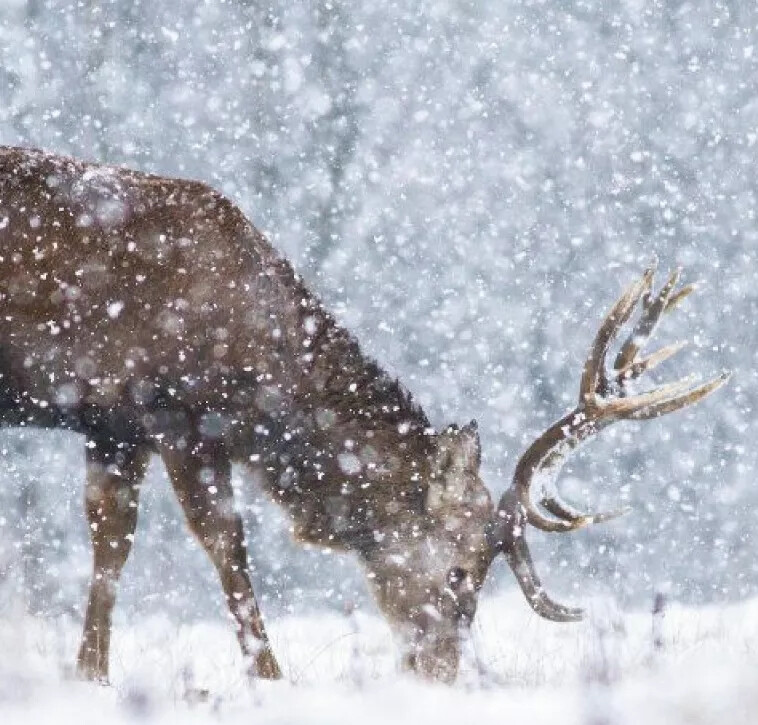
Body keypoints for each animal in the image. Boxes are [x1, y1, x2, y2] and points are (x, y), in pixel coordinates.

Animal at [0, 146, 728, 684]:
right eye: (461, 568)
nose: (442, 671)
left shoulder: (110, 423)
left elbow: (110, 546)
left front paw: (90, 674)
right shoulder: (177, 412)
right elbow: (225, 544)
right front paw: (270, 677)